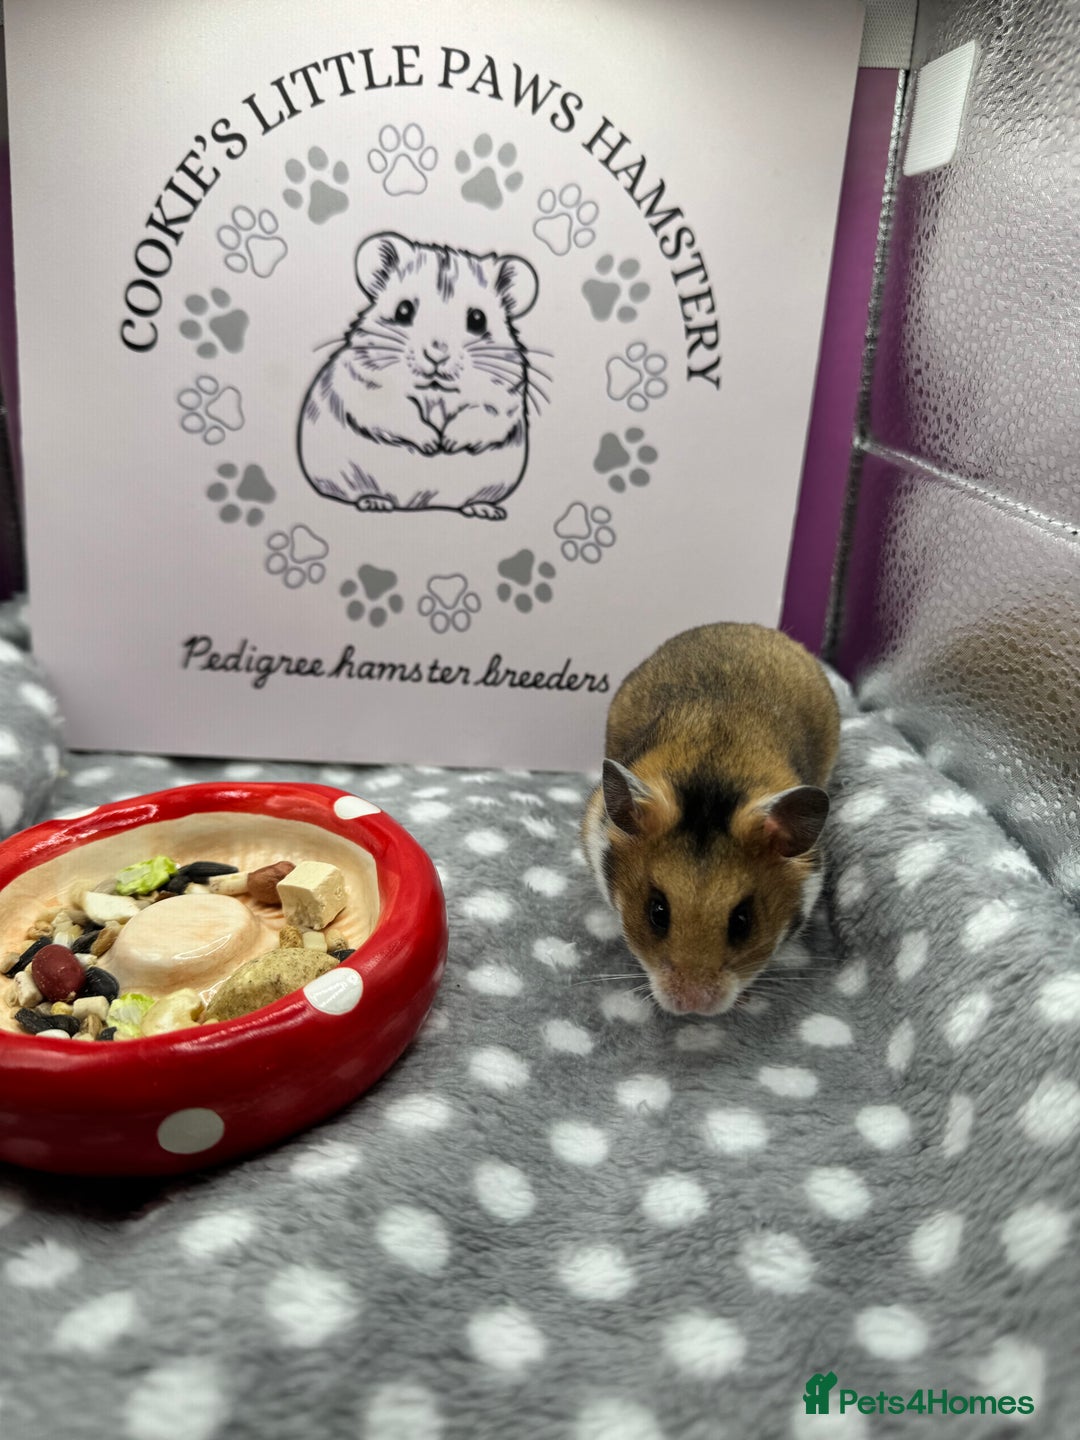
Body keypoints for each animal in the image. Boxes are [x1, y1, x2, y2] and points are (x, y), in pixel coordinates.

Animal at [298, 231, 540, 518]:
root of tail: (415, 504)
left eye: (477, 319)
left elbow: (481, 413)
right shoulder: (366, 385)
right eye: (403, 310)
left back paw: (484, 509)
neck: (435, 392)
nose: (437, 354)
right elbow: (397, 411)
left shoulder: (504, 397)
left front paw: (448, 443)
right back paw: (375, 502)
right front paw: (432, 444)